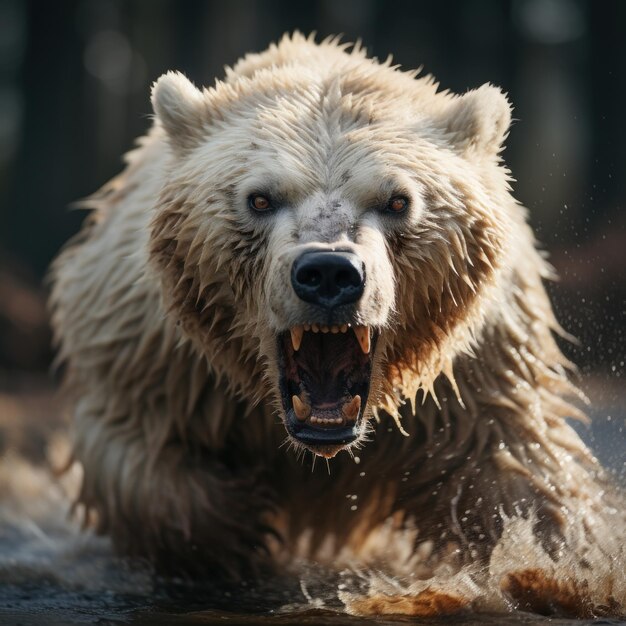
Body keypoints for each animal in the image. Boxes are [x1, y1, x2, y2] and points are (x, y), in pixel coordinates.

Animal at [48, 34, 620, 616]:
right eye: (259, 197)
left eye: (398, 200)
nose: (329, 274)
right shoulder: (158, 356)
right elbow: (143, 459)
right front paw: (236, 523)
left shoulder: (476, 368)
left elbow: (512, 472)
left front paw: (550, 570)